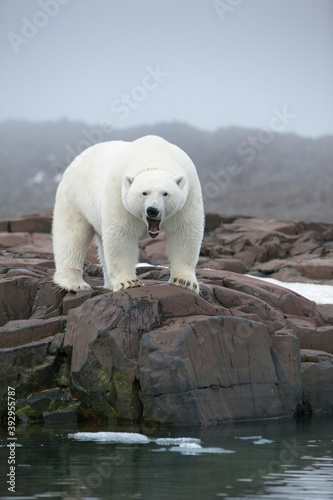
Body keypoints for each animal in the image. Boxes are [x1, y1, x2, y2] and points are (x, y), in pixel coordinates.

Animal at [52, 135, 202, 294]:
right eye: (144, 193)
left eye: (165, 193)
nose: (152, 210)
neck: (154, 156)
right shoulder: (118, 191)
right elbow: (121, 235)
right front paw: (128, 282)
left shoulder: (189, 196)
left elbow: (184, 232)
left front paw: (184, 281)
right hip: (74, 197)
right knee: (72, 236)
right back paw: (75, 283)